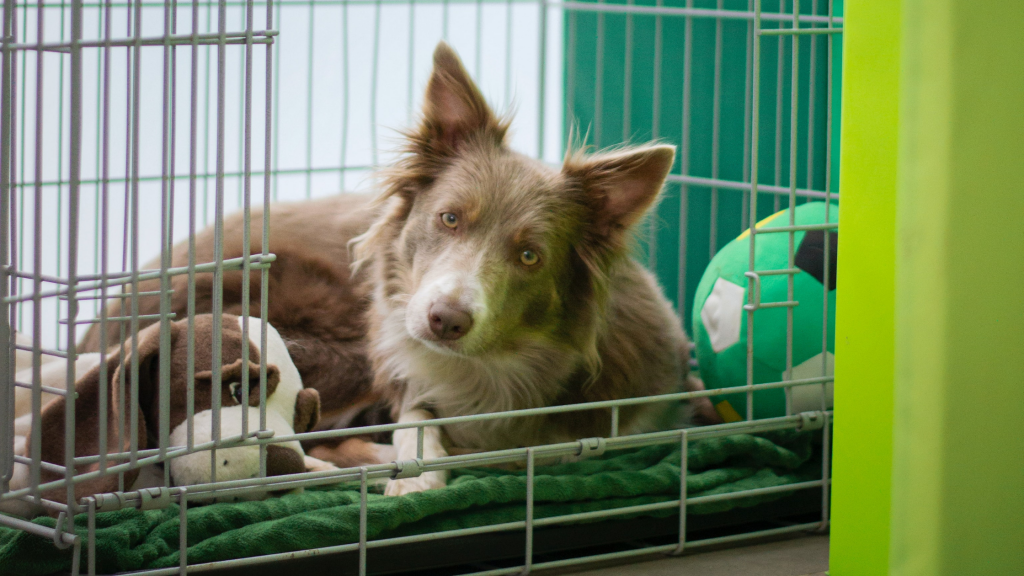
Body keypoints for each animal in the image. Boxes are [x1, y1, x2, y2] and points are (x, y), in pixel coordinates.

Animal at [79, 42, 720, 496]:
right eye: (450, 218)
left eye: (529, 255)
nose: (445, 320)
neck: (496, 373)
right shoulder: (401, 368)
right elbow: (417, 419)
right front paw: (417, 468)